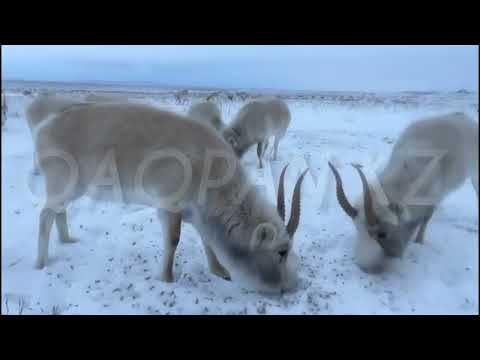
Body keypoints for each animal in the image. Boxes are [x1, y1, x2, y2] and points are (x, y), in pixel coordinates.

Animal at [33, 101, 308, 292]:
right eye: (282, 252)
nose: (292, 285)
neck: (210, 166)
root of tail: (45, 127)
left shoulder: (199, 213)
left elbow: (208, 241)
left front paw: (219, 270)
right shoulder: (169, 207)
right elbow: (173, 240)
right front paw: (166, 278)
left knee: (59, 211)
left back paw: (66, 239)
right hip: (63, 183)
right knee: (45, 214)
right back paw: (40, 263)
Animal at [328, 112, 478, 272]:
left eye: (382, 234)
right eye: (358, 228)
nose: (364, 266)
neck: (408, 171)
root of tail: (462, 116)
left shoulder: (433, 198)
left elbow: (425, 219)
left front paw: (419, 241)